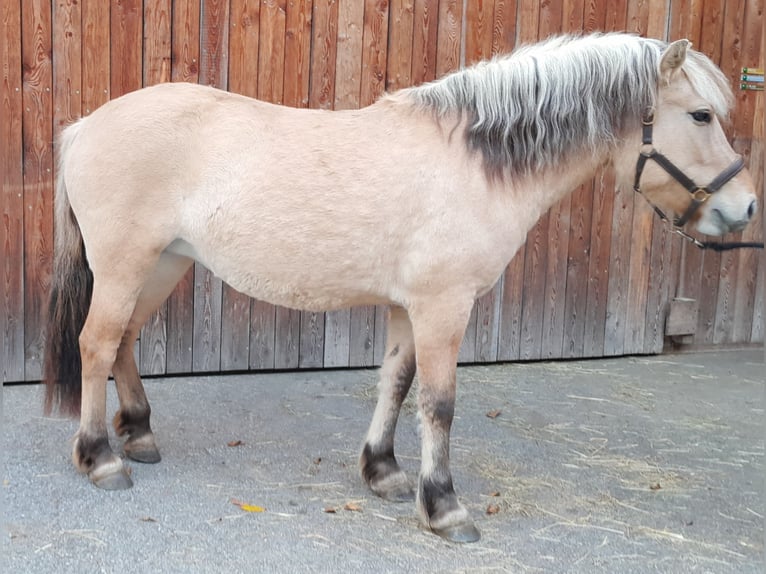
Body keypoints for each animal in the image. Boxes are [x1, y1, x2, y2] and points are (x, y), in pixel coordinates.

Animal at [43, 32, 757, 543]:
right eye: (700, 114)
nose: (744, 209)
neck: (472, 163)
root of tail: (83, 126)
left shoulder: (408, 308)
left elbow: (395, 382)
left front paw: (382, 472)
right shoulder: (444, 306)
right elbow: (439, 404)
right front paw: (444, 507)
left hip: (162, 264)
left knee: (124, 341)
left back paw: (139, 436)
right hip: (126, 264)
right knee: (96, 344)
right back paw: (101, 459)